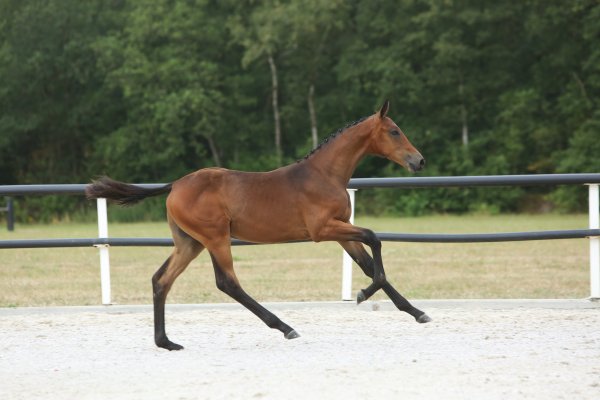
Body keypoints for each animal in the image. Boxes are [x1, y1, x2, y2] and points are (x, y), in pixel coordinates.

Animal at [86, 100, 430, 351]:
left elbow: (369, 264)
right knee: (227, 283)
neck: (324, 175)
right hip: (215, 238)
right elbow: (375, 241)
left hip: (190, 243)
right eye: (395, 131)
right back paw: (285, 327)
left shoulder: (342, 230)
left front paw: (416, 312)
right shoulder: (323, 230)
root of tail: (175, 185)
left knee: (161, 280)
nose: (419, 161)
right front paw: (362, 294)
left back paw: (166, 343)